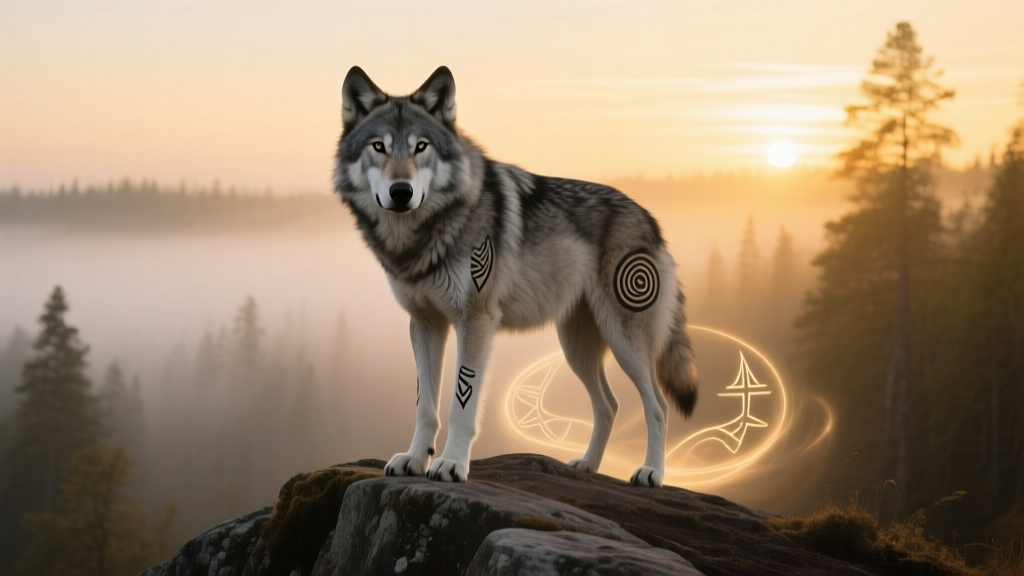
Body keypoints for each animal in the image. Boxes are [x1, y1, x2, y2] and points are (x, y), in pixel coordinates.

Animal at [333, 66, 698, 487]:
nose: (401, 191)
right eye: (378, 147)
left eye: (421, 147)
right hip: (576, 347)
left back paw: (651, 472)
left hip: (624, 341)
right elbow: (425, 405)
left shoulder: (475, 321)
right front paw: (413, 459)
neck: (424, 237)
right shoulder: (424, 323)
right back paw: (587, 465)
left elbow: (461, 404)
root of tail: (651, 219)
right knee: (609, 404)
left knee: (657, 406)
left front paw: (451, 464)